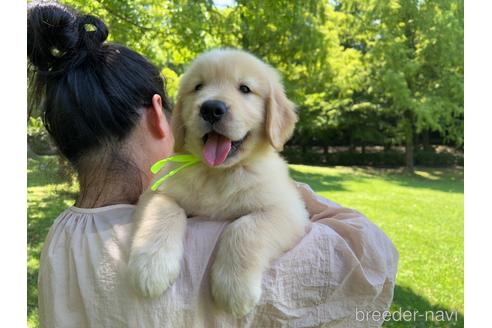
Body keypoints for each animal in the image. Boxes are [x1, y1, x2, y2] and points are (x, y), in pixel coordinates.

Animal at [129, 48, 310, 318]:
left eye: (245, 88)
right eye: (198, 87)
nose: (212, 108)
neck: (218, 173)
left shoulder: (288, 209)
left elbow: (244, 228)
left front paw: (234, 289)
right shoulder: (157, 193)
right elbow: (164, 212)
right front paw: (151, 267)